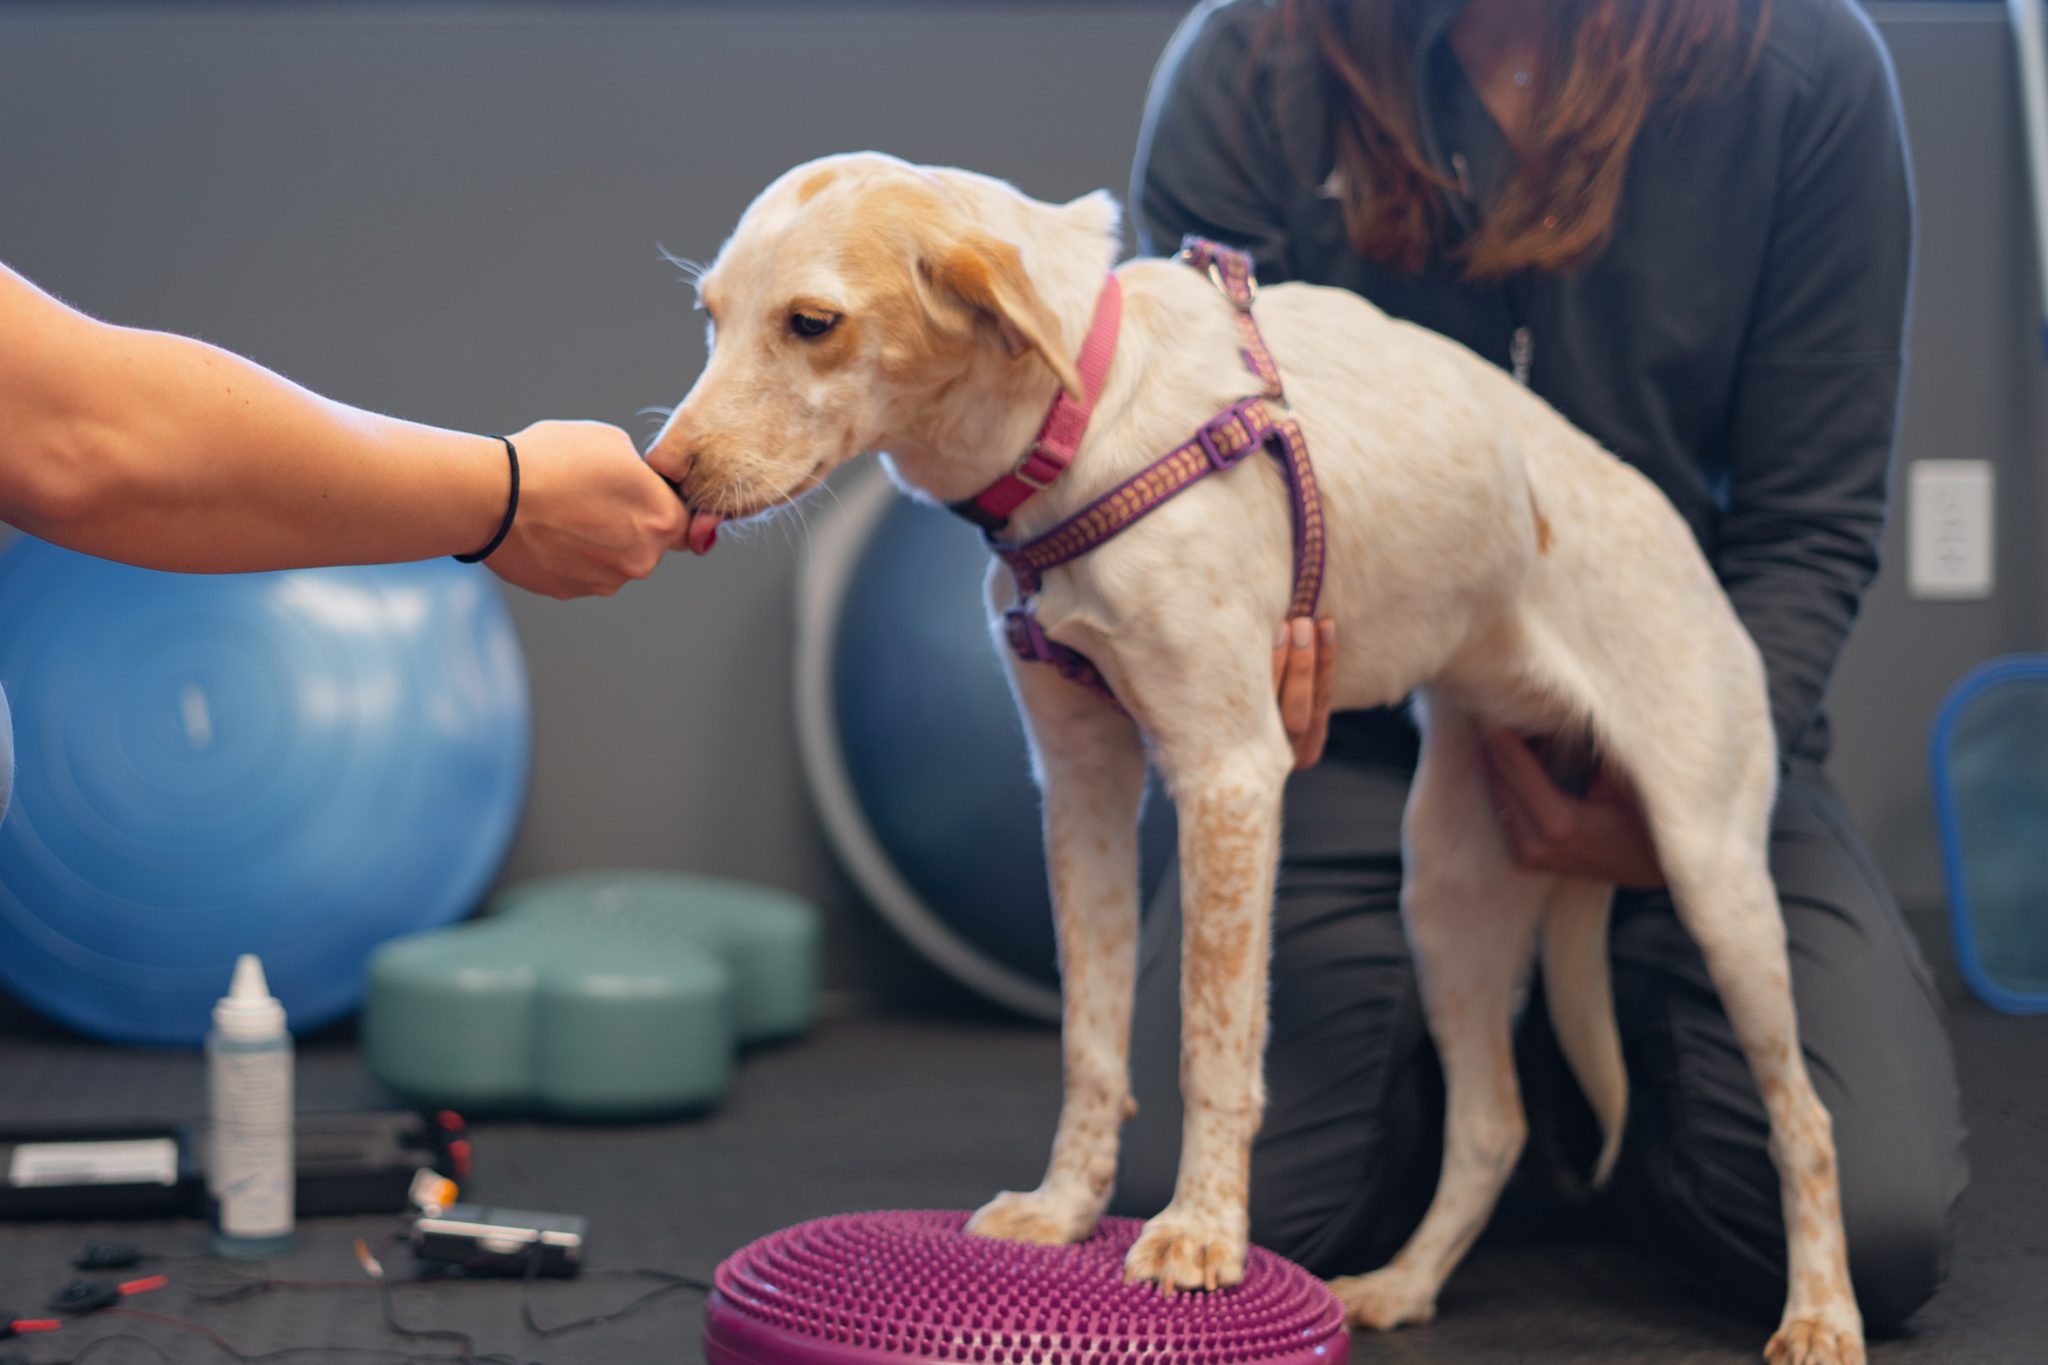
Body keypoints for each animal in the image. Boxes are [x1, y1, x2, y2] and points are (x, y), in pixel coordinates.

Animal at [659, 152, 1875, 1365]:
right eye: (709, 318)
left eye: (812, 322)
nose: (662, 474)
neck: (1080, 419)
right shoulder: (1082, 786)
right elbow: (1090, 1037)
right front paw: (1064, 1210)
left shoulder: (1228, 774)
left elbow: (1212, 1047)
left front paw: (1200, 1233)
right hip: (1448, 897)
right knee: (1492, 1123)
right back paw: (1404, 1283)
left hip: (1713, 876)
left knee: (1806, 1121)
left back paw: (1819, 1314)